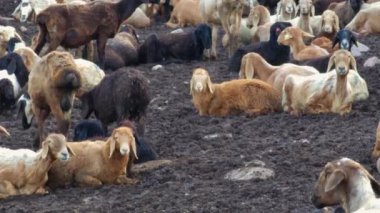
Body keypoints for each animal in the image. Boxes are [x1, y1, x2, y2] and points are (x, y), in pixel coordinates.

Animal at [30, 0, 159, 68]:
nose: (158, 1)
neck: (118, 12)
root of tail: (41, 16)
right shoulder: (103, 33)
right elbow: (101, 54)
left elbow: (90, 55)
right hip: (56, 36)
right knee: (44, 55)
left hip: (43, 34)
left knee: (35, 51)